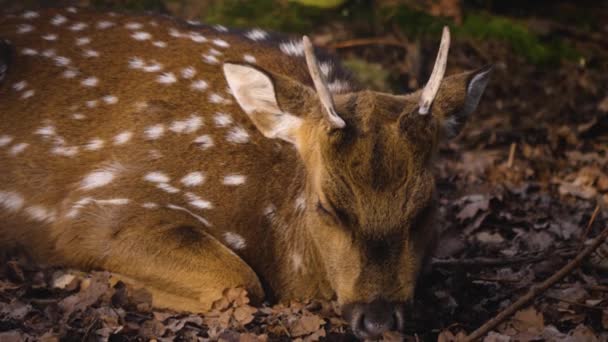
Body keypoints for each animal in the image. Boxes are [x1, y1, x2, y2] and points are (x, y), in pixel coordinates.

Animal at [0, 6, 490, 338]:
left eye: (425, 208)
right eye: (327, 207)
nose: (378, 319)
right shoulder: (103, 201)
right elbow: (239, 280)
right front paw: (81, 278)